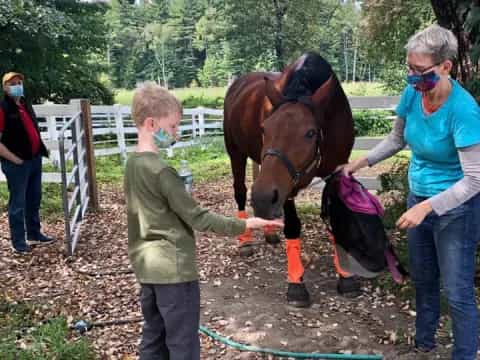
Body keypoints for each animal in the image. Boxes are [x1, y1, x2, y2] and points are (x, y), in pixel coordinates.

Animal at [223, 52, 354, 306]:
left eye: (310, 133)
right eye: (264, 128)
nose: (263, 198)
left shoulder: (335, 171)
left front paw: (346, 278)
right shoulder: (287, 186)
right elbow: (293, 227)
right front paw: (296, 285)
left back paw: (269, 230)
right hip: (236, 153)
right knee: (241, 191)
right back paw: (245, 241)